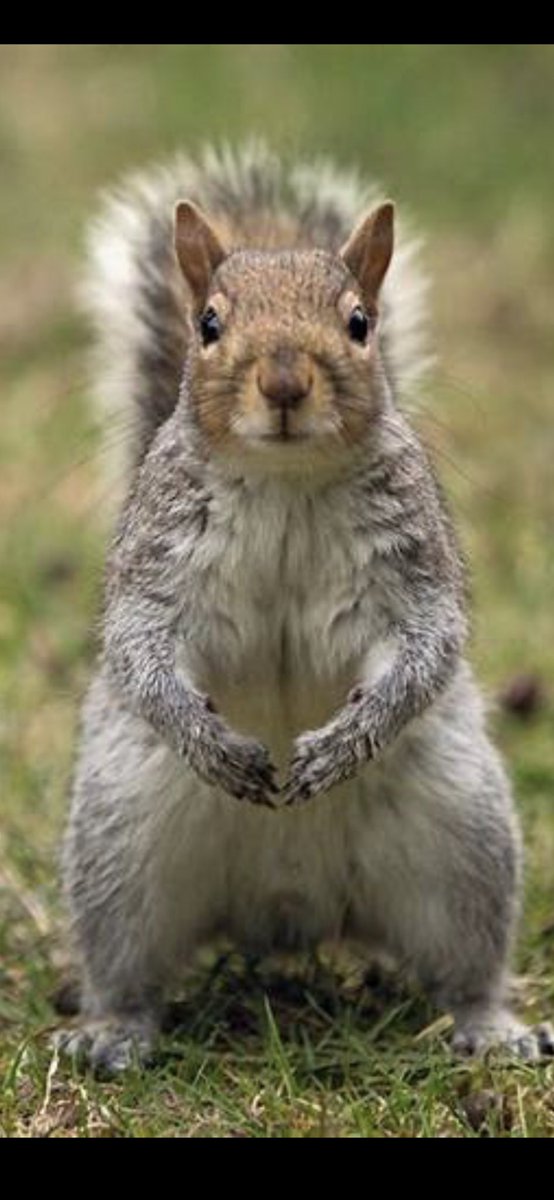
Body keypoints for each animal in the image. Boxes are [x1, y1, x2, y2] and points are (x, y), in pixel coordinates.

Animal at [57, 143, 553, 1074]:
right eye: (208, 324)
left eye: (359, 323)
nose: (284, 381)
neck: (286, 481)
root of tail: (286, 910)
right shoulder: (155, 563)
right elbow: (139, 649)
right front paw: (210, 742)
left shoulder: (414, 563)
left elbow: (430, 645)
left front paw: (343, 742)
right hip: (120, 849)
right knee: (128, 968)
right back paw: (113, 1032)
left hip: (461, 842)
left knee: (464, 964)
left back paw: (492, 1028)